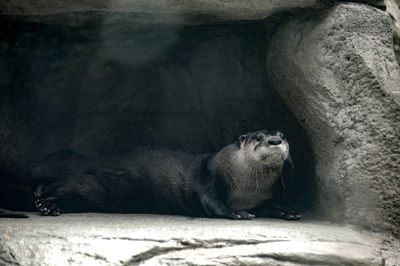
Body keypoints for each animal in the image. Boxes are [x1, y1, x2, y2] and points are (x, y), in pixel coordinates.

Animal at [29, 129, 300, 220]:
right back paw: (47, 206)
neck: (245, 189)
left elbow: (266, 206)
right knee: (56, 191)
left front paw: (286, 211)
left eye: (283, 134)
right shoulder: (209, 177)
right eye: (258, 137)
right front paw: (238, 214)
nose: (275, 141)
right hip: (87, 187)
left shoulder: (258, 198)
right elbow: (212, 203)